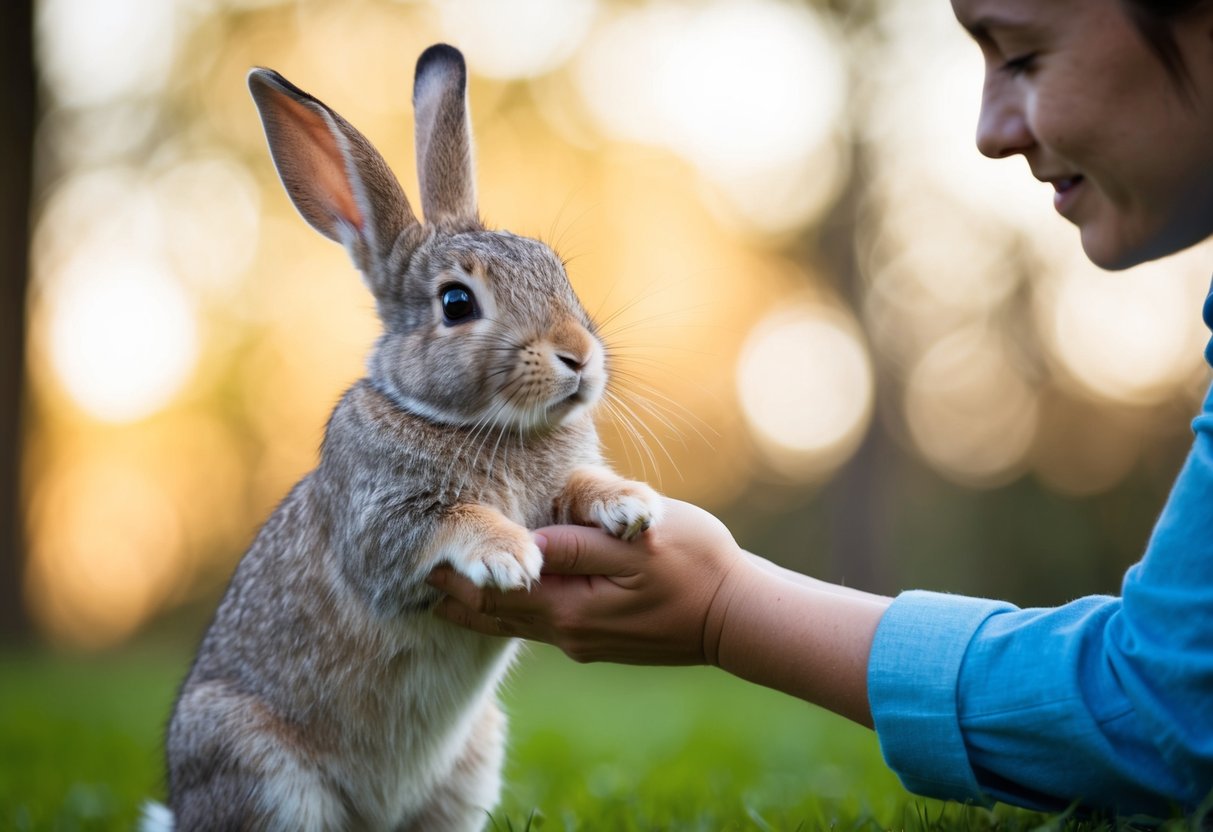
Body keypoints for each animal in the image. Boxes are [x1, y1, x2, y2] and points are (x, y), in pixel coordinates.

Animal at [145, 43, 663, 832]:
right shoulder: (380, 520)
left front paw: (630, 505)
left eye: (558, 271)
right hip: (260, 768)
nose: (578, 356)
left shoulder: (559, 479)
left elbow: (582, 484)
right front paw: (507, 555)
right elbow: (443, 520)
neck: (474, 422)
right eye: (456, 302)